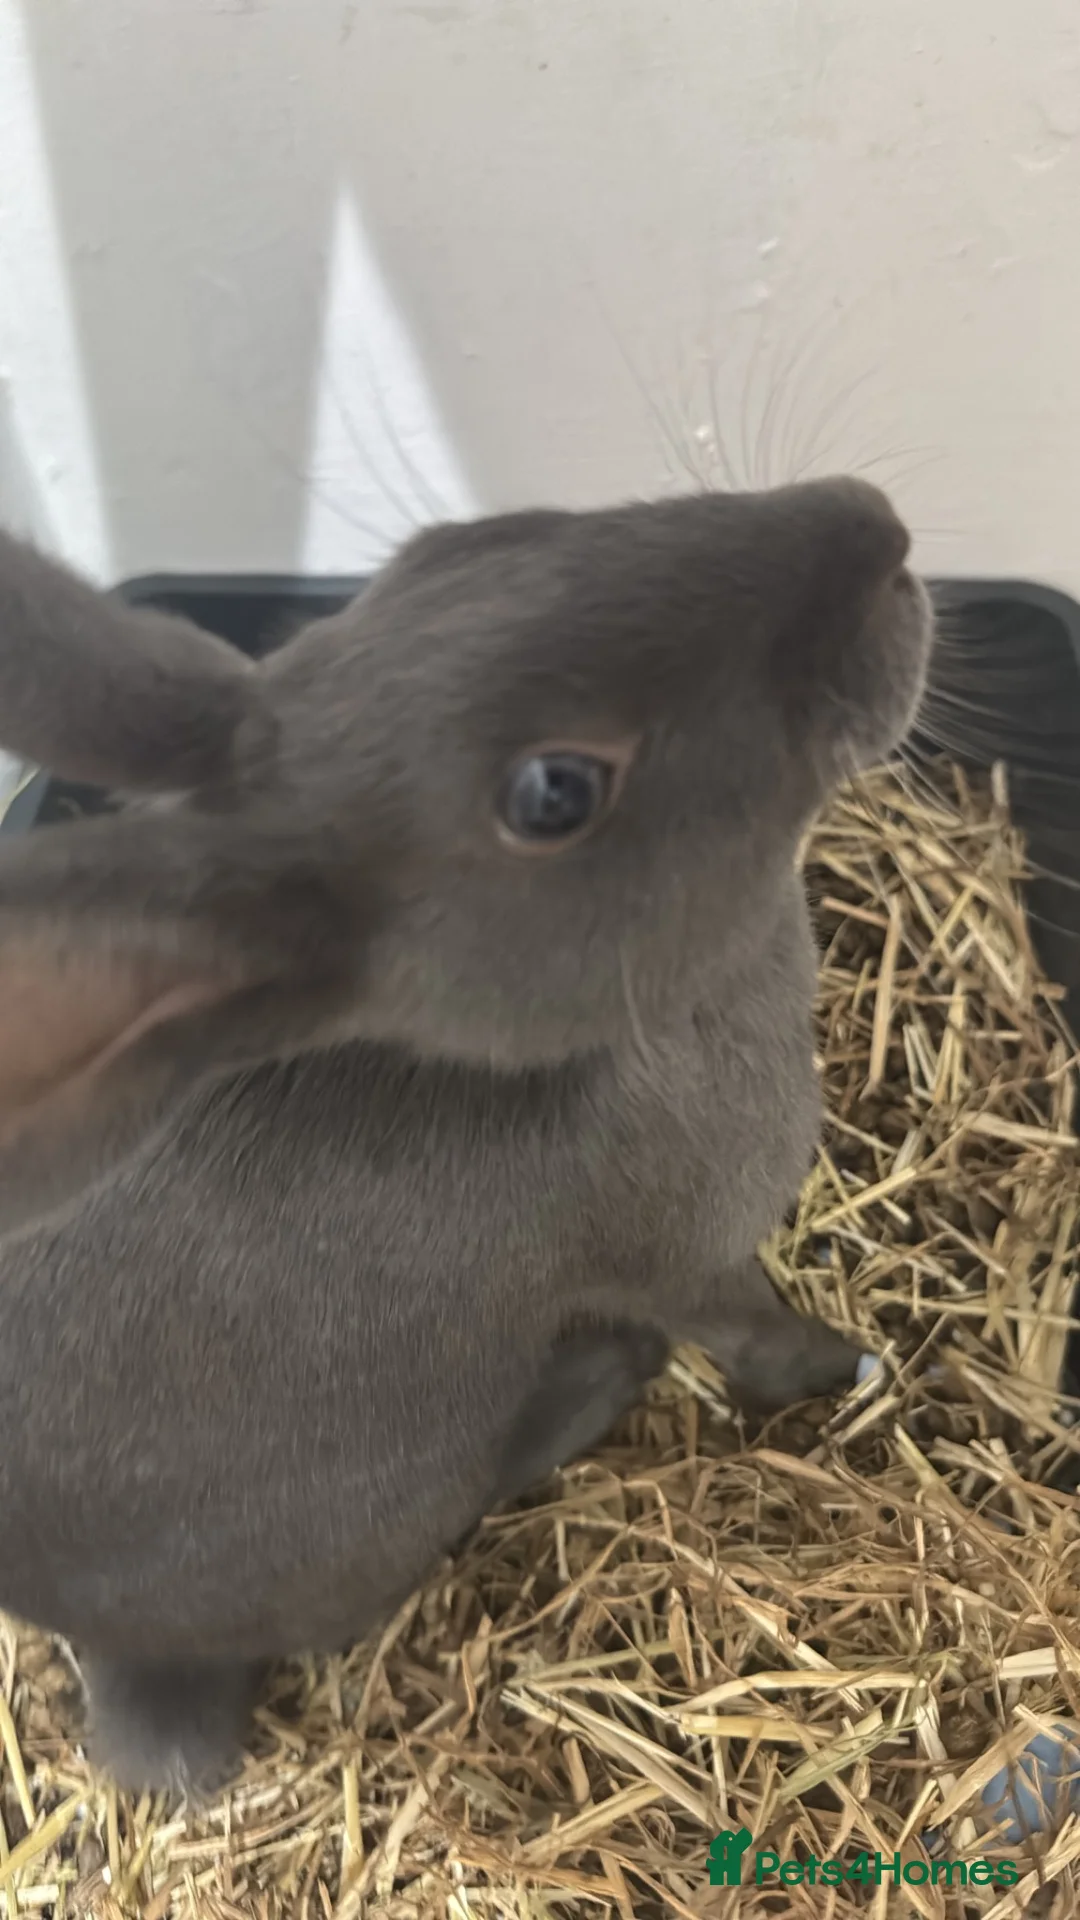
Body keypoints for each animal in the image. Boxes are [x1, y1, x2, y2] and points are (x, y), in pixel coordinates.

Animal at [0, 477, 932, 1794]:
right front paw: (854, 1368)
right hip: (407, 1481)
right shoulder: (692, 1261)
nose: (877, 531)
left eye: (459, 545)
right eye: (555, 792)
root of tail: (121, 1657)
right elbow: (759, 1334)